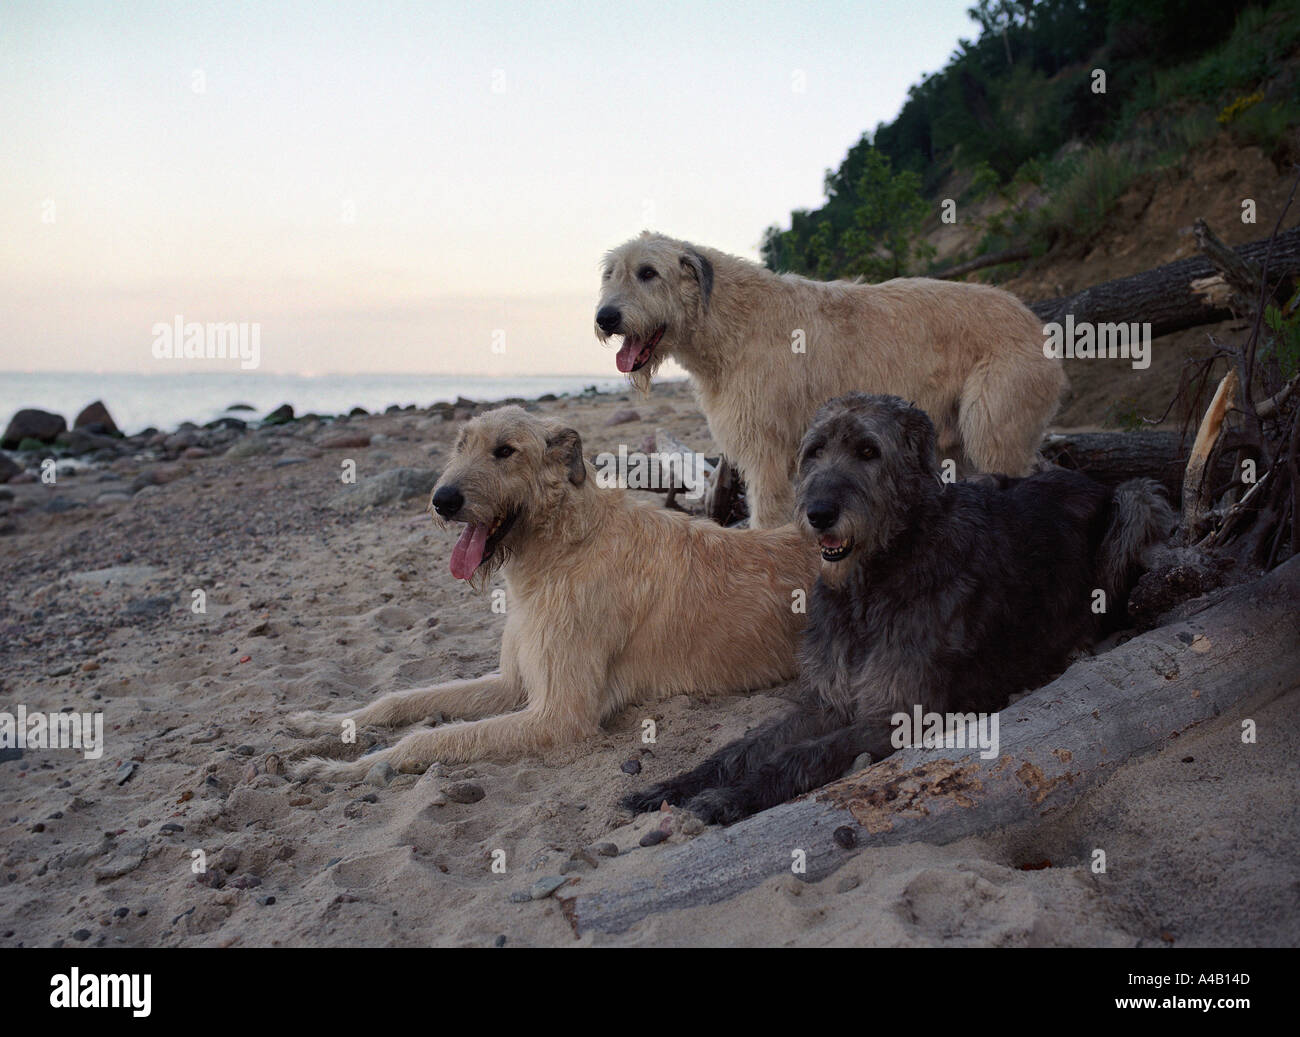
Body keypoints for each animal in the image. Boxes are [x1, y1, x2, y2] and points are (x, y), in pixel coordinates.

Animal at [292, 405, 811, 779]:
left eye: (505, 451)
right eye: (461, 445)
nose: (441, 501)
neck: (566, 547)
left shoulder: (558, 716)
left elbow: (428, 738)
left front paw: (339, 768)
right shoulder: (511, 682)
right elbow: (400, 700)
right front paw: (324, 725)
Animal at [595, 233, 1060, 527]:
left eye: (648, 272)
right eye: (609, 273)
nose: (605, 318)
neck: (729, 324)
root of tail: (1033, 318)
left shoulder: (767, 455)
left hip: (995, 422)